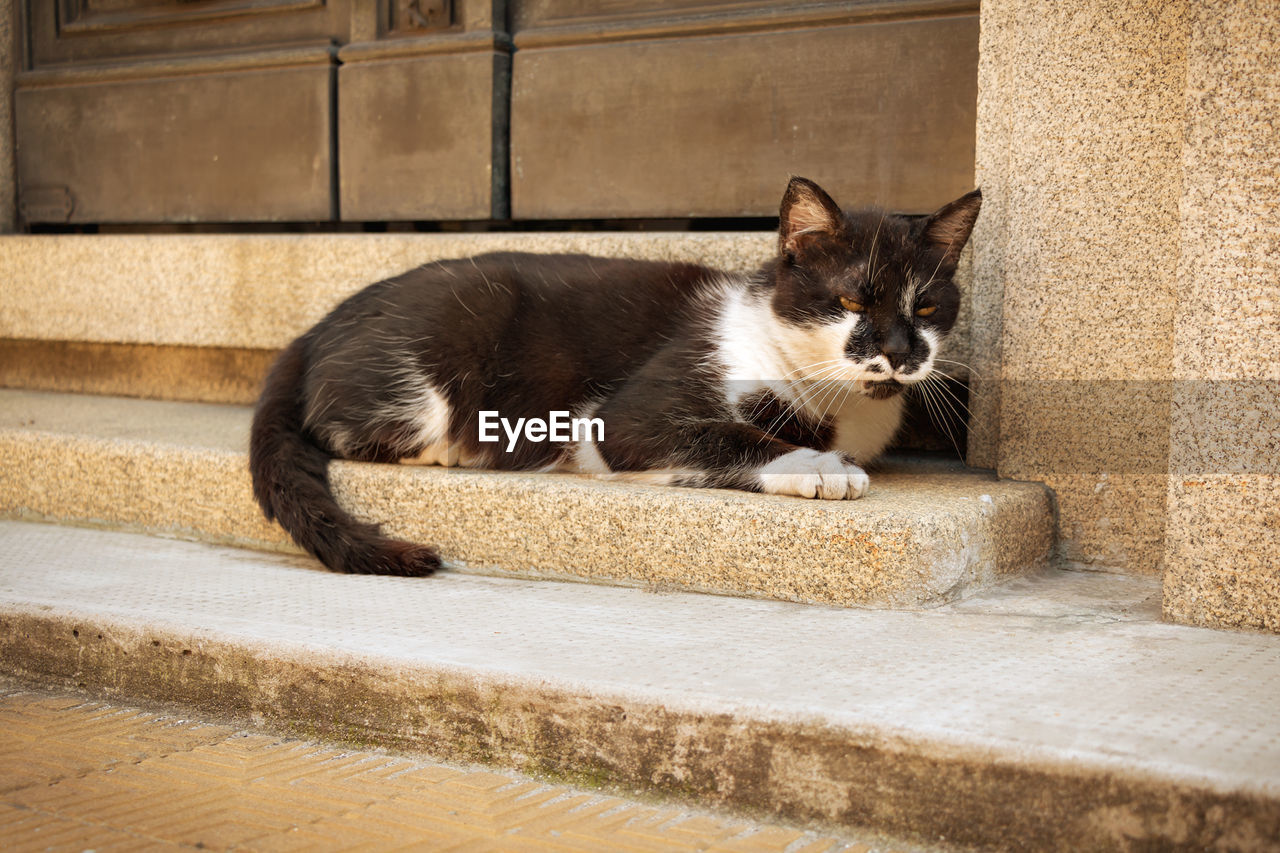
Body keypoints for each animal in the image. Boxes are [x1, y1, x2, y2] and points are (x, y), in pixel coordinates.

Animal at [252, 179, 988, 578]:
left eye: (927, 307)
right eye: (852, 300)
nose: (900, 354)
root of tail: (316, 328)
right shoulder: (628, 416)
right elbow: (721, 434)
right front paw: (819, 465)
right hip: (439, 363)